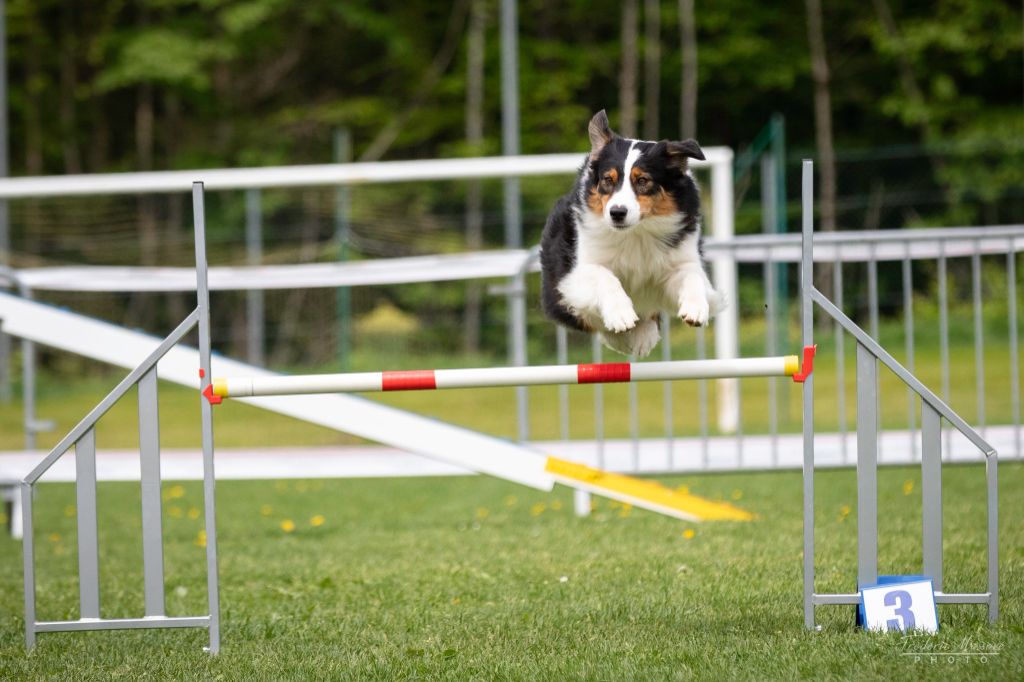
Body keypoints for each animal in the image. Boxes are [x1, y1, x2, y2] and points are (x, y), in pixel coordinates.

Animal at [540, 107, 724, 356]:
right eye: (608, 180)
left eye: (643, 180)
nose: (617, 213)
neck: (636, 232)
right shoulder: (577, 273)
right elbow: (604, 276)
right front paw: (621, 316)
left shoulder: (678, 259)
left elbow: (692, 274)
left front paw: (696, 309)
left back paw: (644, 334)